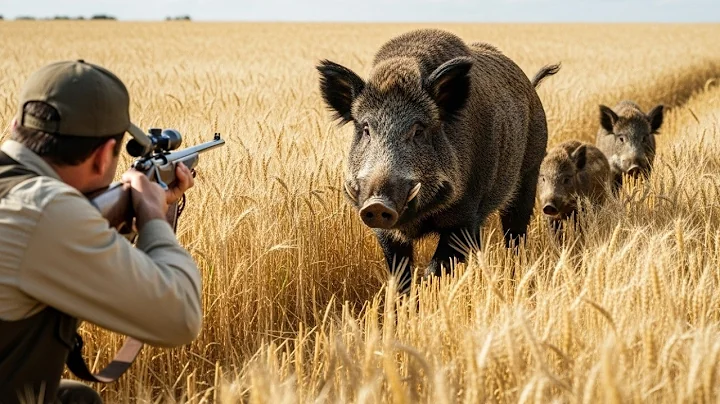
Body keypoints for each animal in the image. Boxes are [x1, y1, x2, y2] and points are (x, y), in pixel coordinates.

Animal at [316, 28, 560, 292]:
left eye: (418, 130)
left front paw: (428, 294)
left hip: (530, 171)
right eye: (366, 129)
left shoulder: (465, 213)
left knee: (515, 233)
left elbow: (436, 269)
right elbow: (399, 274)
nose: (378, 205)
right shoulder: (383, 229)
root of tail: (530, 87)